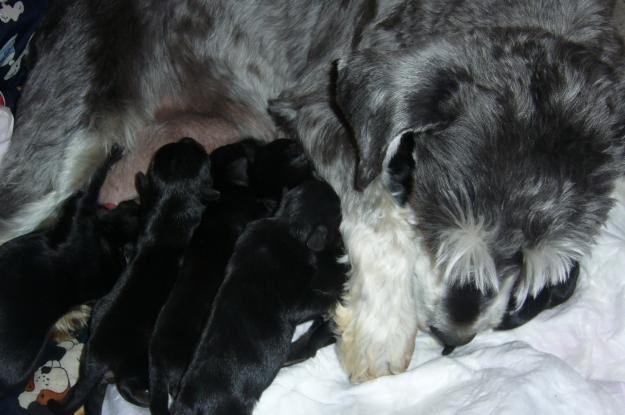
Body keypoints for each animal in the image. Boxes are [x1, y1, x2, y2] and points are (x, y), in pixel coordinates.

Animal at [48, 139, 217, 415]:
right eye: (202, 154)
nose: (187, 139)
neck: (170, 210)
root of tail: (98, 362)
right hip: (135, 363)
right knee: (129, 386)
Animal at [171, 180, 346, 415]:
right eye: (339, 214)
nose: (343, 244)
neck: (288, 225)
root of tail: (189, 402)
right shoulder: (298, 298)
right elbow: (316, 300)